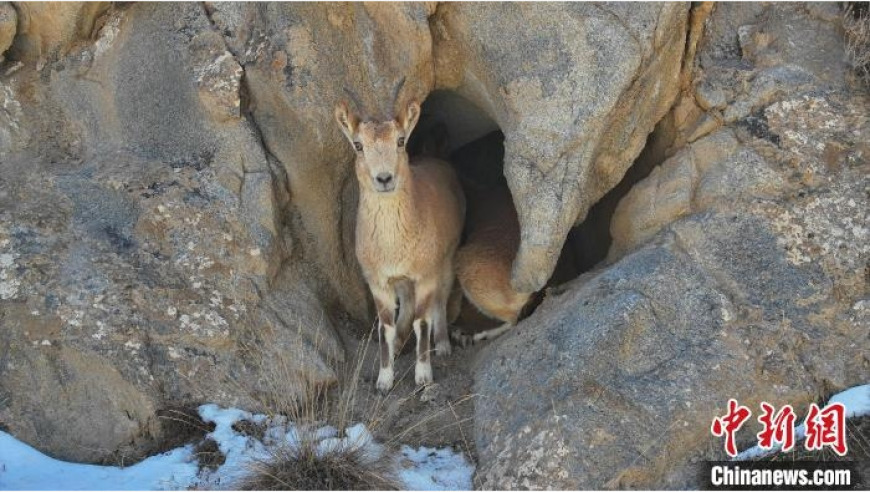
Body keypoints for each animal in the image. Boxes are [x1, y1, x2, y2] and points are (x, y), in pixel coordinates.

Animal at [338, 94, 466, 390]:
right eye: (358, 145)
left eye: (400, 140)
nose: (384, 178)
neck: (392, 246)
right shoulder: (379, 281)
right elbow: (384, 326)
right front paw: (384, 378)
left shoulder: (425, 274)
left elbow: (422, 320)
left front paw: (423, 374)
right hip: (404, 280)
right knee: (406, 304)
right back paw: (398, 345)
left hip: (447, 258)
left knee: (441, 298)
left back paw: (443, 343)